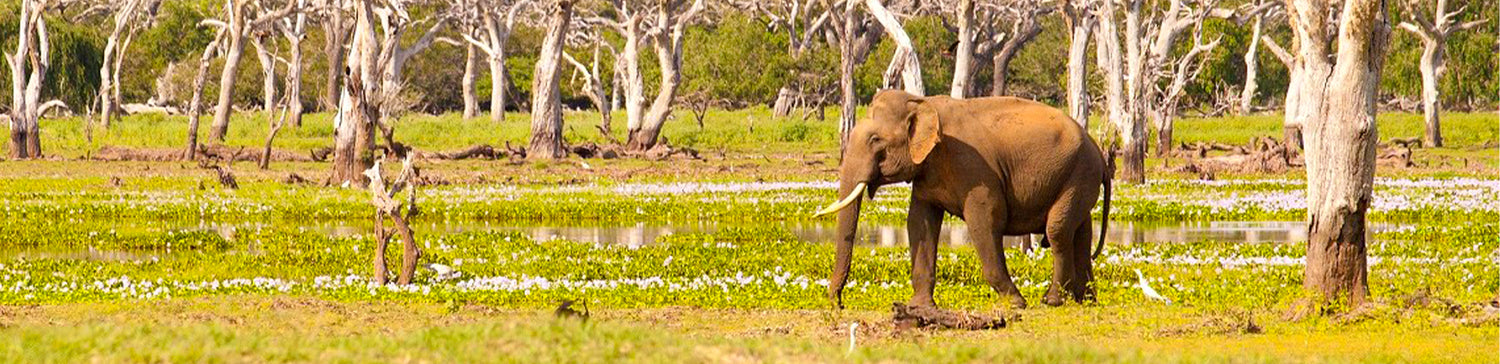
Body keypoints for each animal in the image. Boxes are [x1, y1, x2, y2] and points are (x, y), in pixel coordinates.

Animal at [810, 89, 1116, 308]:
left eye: (875, 140)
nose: (837, 304)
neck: (923, 102)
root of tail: (1099, 154)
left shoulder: (973, 168)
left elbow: (985, 220)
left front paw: (1016, 304)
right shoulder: (927, 174)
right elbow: (920, 223)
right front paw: (919, 307)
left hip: (1078, 174)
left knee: (1058, 231)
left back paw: (1051, 301)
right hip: (1078, 179)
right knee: (1081, 232)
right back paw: (1086, 301)